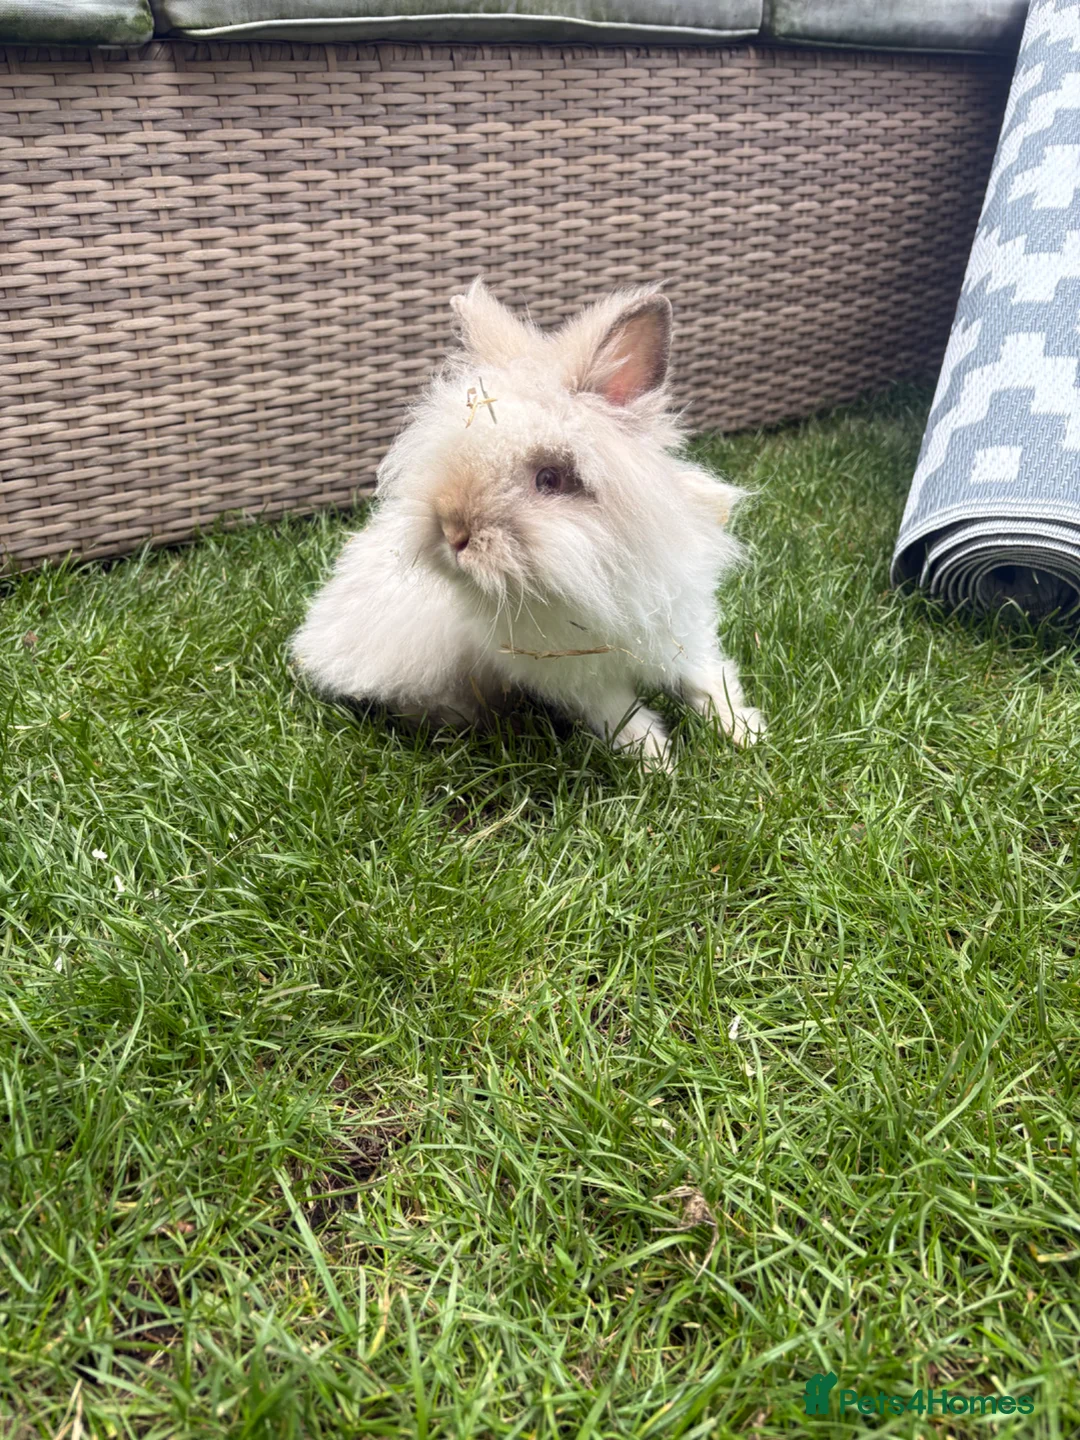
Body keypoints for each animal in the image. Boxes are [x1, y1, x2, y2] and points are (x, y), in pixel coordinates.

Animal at [290, 279, 765, 769]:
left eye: (550, 479)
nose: (453, 533)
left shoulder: (683, 630)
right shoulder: (576, 677)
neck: (599, 574)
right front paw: (658, 764)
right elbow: (624, 717)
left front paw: (747, 735)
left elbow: (707, 682)